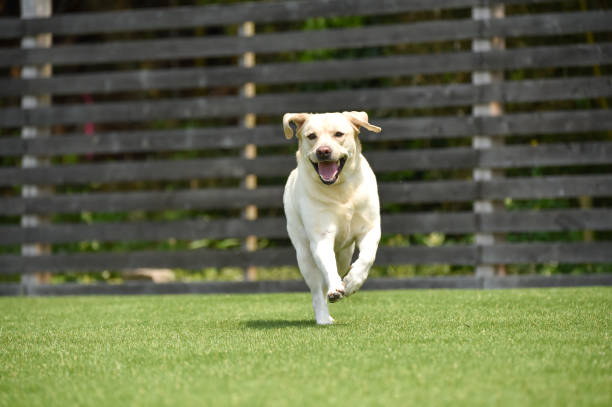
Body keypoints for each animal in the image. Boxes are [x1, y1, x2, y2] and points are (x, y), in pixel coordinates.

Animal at [284, 111, 382, 326]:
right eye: (312, 136)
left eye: (338, 134)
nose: (323, 151)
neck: (340, 191)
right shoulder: (321, 238)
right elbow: (328, 267)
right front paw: (337, 289)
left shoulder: (370, 229)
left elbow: (367, 257)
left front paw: (352, 282)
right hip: (304, 254)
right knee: (317, 289)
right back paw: (323, 317)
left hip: (344, 255)